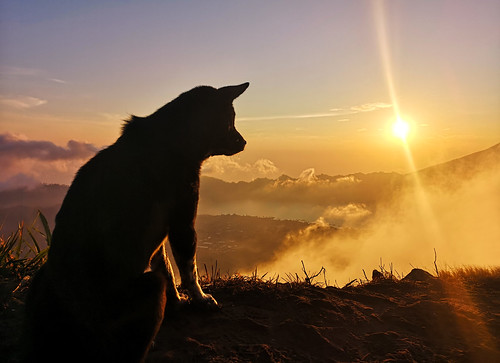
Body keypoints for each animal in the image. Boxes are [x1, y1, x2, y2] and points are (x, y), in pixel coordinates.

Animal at [23, 83, 250, 363]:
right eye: (230, 121)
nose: (244, 142)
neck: (173, 138)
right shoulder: (183, 225)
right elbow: (189, 271)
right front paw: (201, 299)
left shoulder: (159, 236)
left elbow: (166, 269)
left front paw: (175, 302)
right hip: (147, 289)